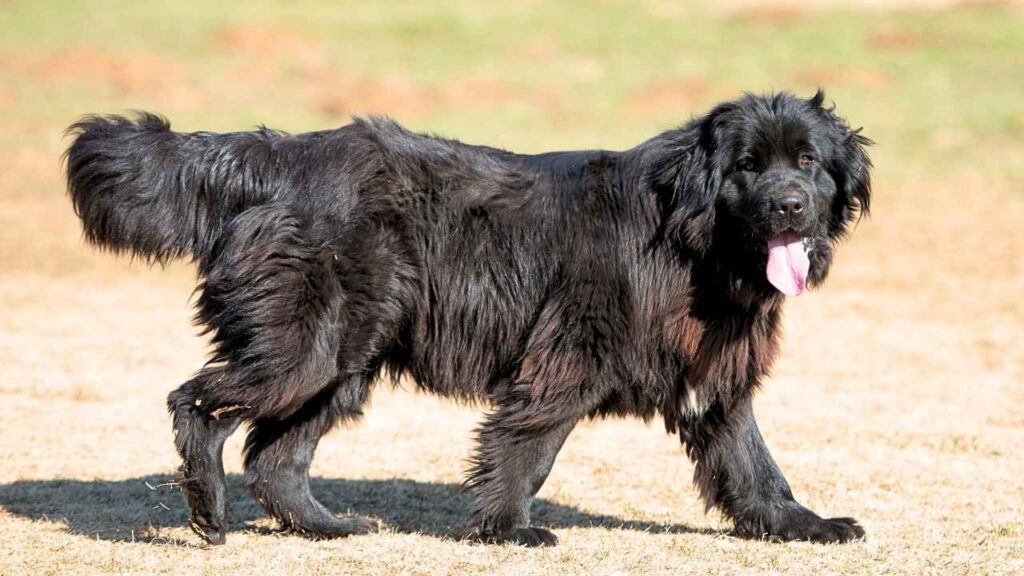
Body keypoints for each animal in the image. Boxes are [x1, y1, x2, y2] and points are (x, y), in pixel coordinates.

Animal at [64, 88, 868, 541]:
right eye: (747, 166)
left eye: (808, 162)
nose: (790, 206)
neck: (689, 234)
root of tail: (277, 158)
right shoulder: (567, 354)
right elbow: (528, 444)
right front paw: (508, 530)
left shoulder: (714, 376)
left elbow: (753, 465)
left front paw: (802, 526)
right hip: (305, 346)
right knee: (197, 405)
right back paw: (208, 514)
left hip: (345, 358)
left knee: (276, 457)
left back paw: (327, 528)